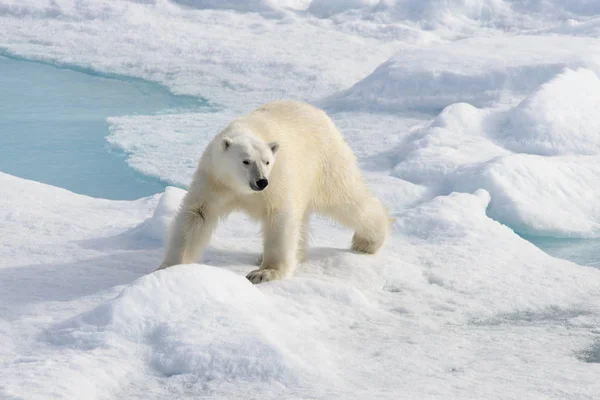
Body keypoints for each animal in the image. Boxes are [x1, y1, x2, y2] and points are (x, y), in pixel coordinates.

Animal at [159, 98, 392, 282]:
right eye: (246, 161)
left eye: (267, 161)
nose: (261, 181)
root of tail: (320, 113)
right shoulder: (215, 179)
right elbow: (197, 215)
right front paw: (170, 266)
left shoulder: (278, 178)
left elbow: (280, 216)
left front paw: (264, 273)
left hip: (326, 162)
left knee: (347, 200)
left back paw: (367, 241)